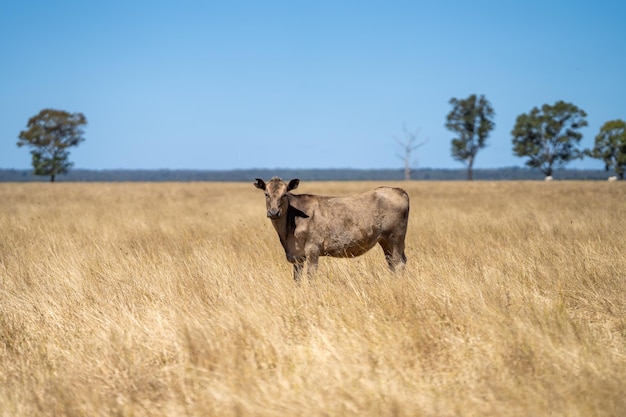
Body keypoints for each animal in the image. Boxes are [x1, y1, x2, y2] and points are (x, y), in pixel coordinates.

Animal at [254, 177, 410, 282]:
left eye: (284, 194)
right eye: (266, 194)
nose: (274, 212)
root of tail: (398, 190)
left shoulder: (313, 249)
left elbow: (311, 277)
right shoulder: (296, 256)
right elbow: (297, 280)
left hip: (395, 238)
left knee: (399, 263)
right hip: (385, 241)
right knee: (392, 263)